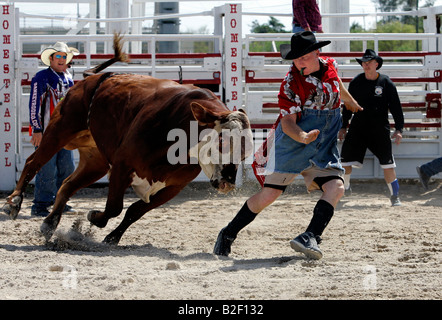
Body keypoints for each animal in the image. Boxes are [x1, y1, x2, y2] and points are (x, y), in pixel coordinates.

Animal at [2, 42, 252, 245]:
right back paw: (14, 202)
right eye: (221, 142)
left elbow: (135, 210)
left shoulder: (173, 186)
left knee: (67, 184)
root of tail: (91, 79)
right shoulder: (123, 165)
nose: (228, 182)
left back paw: (50, 223)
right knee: (33, 162)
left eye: (245, 152)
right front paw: (95, 217)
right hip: (59, 129)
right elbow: (114, 207)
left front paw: (113, 237)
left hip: (96, 161)